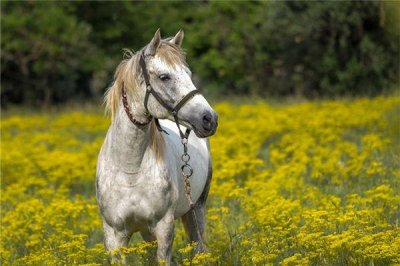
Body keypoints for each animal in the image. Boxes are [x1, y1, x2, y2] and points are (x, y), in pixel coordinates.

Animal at [95, 29, 217, 264]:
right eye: (164, 77)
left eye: (188, 74)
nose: (209, 119)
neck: (130, 170)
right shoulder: (114, 235)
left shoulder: (163, 228)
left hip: (196, 209)